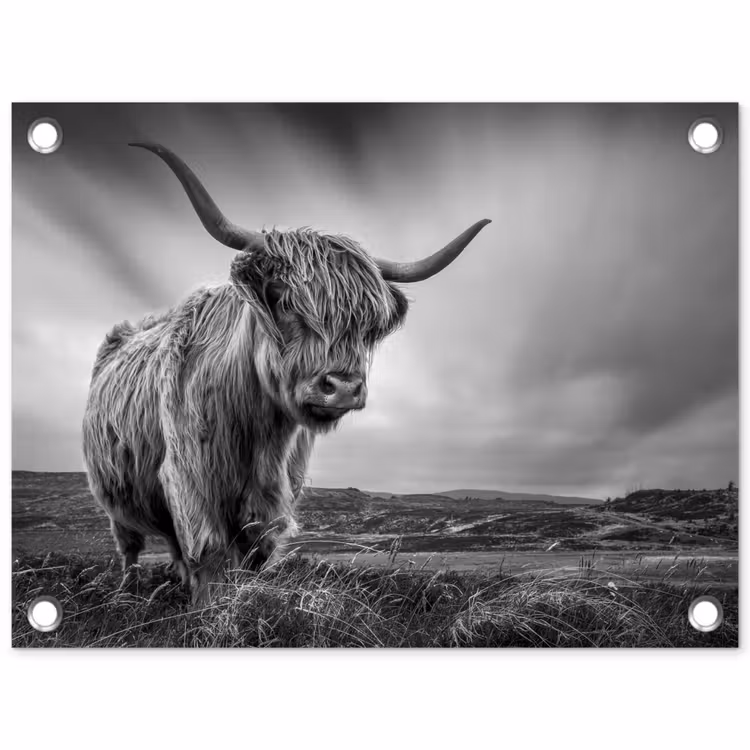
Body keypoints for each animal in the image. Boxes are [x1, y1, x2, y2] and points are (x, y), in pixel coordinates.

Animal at [82, 142, 490, 605]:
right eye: (280, 296)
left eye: (368, 323)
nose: (342, 387)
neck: (259, 431)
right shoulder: (190, 479)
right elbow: (209, 553)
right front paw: (208, 610)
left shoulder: (276, 495)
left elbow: (255, 553)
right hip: (114, 496)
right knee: (130, 545)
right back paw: (127, 590)